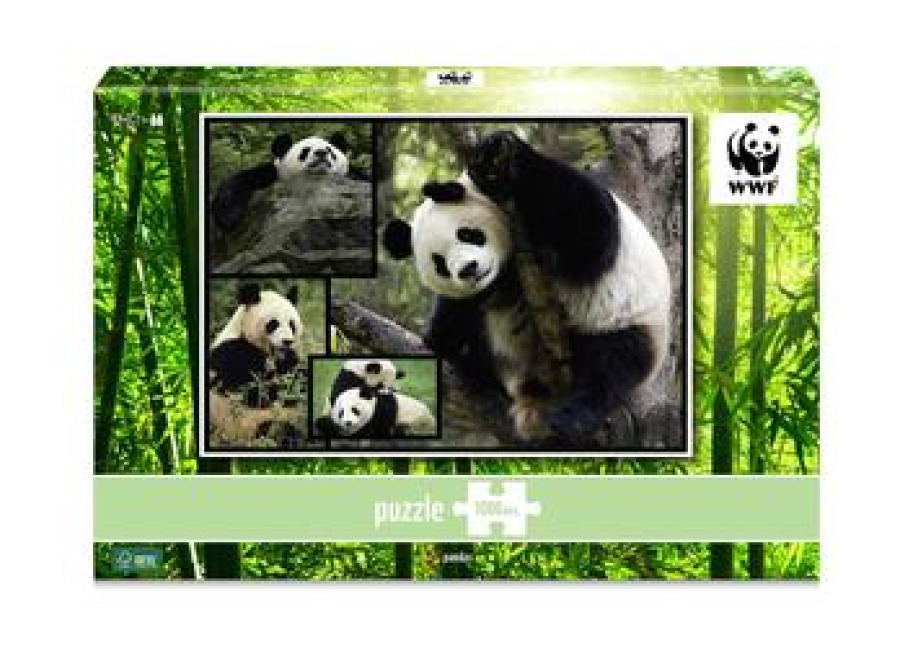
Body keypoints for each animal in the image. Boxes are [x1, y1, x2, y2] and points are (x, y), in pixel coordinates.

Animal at [208, 282, 304, 444]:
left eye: (292, 324)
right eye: (273, 323)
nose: (287, 341)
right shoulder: (230, 354)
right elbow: (251, 391)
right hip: (244, 427)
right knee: (277, 427)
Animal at [210, 132, 362, 232]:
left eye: (330, 150)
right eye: (305, 151)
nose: (321, 153)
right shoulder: (273, 175)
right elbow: (239, 181)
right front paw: (229, 218)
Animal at [382, 130, 670, 441]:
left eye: (468, 234)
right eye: (440, 264)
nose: (469, 269)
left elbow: (590, 234)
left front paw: (497, 155)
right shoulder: (484, 287)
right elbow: (456, 312)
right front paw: (439, 341)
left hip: (628, 321)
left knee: (610, 364)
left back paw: (572, 417)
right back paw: (476, 371)